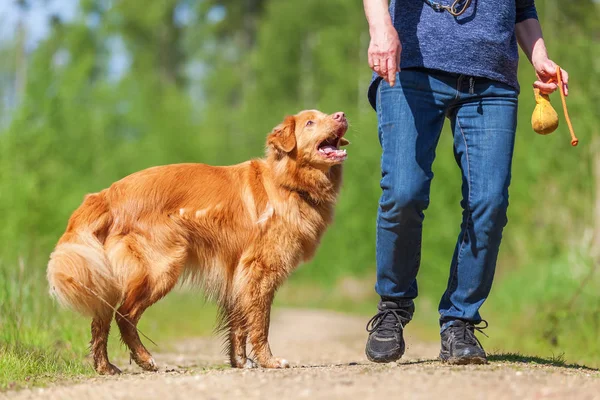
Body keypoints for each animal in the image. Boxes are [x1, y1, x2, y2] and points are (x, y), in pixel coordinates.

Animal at [48, 109, 352, 376]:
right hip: (161, 268)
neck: (287, 182)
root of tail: (107, 194)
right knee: (124, 315)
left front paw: (241, 362)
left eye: (326, 114)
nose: (341, 115)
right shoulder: (260, 271)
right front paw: (269, 362)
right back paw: (145, 360)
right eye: (310, 122)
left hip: (107, 275)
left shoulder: (237, 275)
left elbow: (238, 324)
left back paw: (105, 367)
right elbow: (260, 323)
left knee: (101, 319)